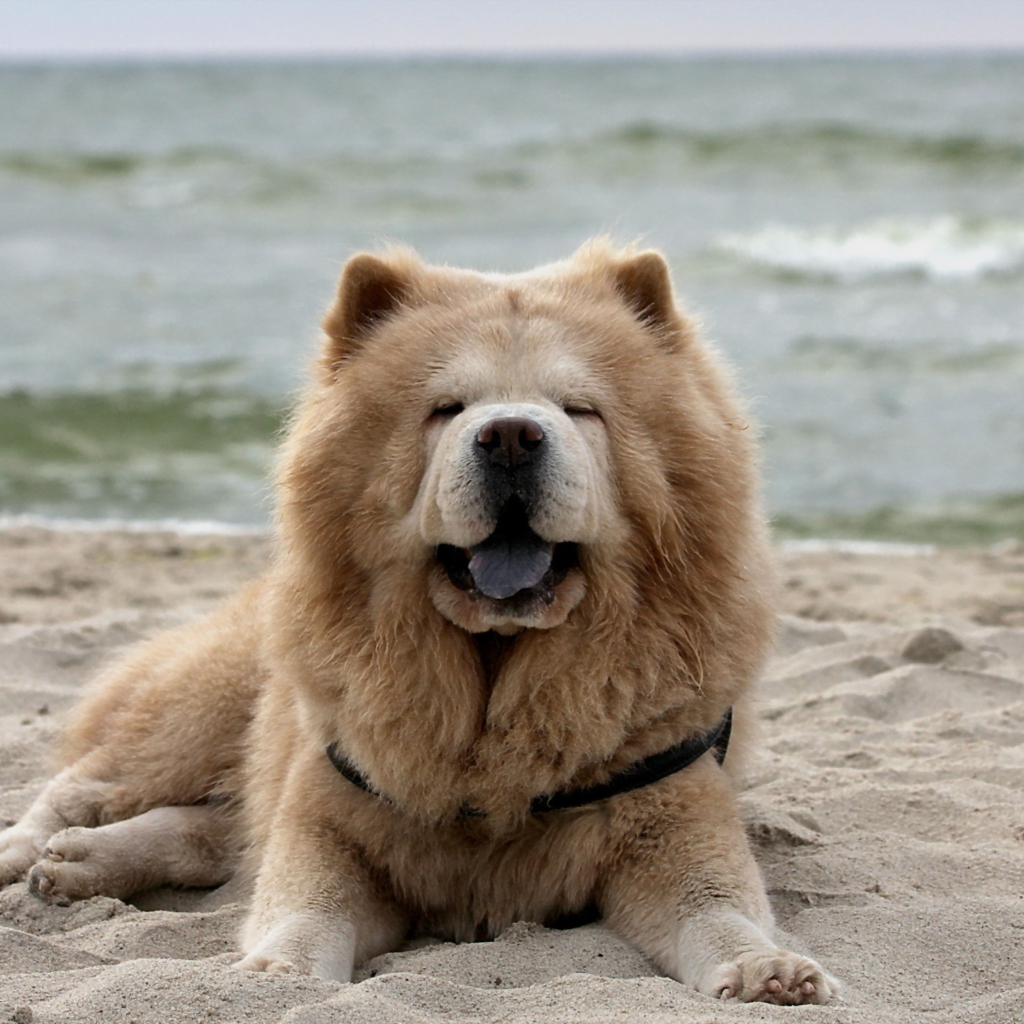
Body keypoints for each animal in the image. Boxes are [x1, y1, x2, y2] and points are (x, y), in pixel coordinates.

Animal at [0, 243, 839, 1003]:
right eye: (446, 410)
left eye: (579, 409)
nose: (511, 435)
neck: (496, 680)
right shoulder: (331, 817)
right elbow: (303, 900)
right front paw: (280, 972)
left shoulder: (672, 814)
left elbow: (718, 908)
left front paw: (768, 970)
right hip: (200, 709)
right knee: (87, 788)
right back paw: (35, 855)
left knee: (212, 833)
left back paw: (79, 863)